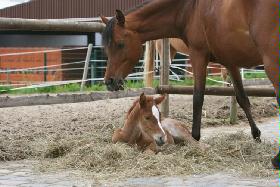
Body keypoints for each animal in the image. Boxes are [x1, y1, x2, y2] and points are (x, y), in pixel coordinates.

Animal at [101, 0, 280, 142]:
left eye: (120, 44)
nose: (109, 81)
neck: (189, 9)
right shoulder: (230, 62)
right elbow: (242, 98)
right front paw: (256, 135)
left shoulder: (198, 56)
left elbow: (198, 98)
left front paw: (194, 137)